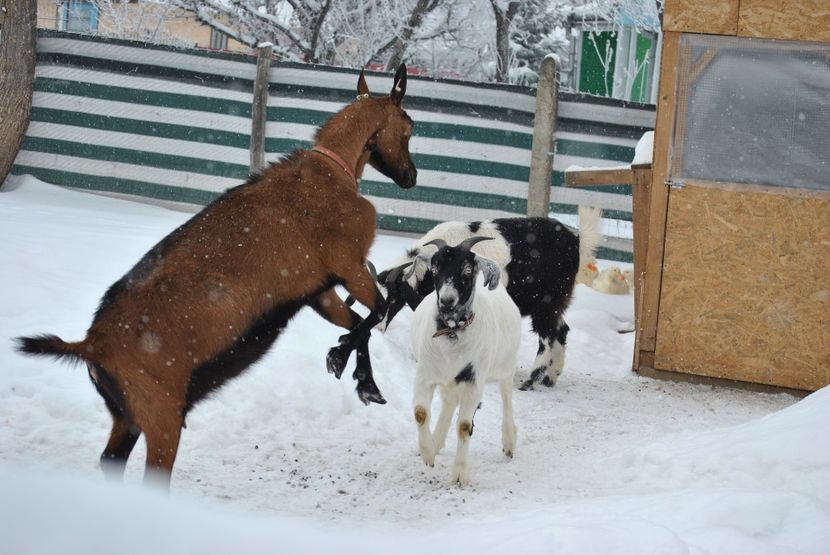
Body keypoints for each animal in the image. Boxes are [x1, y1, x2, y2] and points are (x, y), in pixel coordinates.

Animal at [17, 65, 422, 488]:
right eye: (409, 128)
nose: (411, 176)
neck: (332, 172)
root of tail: (90, 345)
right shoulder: (349, 266)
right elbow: (377, 312)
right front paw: (339, 359)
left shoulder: (318, 291)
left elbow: (360, 321)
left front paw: (365, 383)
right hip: (161, 415)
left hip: (127, 416)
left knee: (111, 461)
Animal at [380, 207, 600, 390]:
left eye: (393, 298)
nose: (378, 328)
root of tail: (576, 239)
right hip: (556, 303)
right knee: (562, 330)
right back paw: (550, 378)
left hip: (547, 302)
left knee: (548, 335)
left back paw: (530, 381)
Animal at [410, 237, 520, 488]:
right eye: (434, 268)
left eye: (467, 270)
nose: (447, 300)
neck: (451, 332)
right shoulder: (425, 374)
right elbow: (421, 413)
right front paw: (427, 453)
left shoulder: (473, 382)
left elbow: (464, 427)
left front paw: (460, 476)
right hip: (449, 381)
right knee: (449, 403)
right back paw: (437, 441)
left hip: (505, 368)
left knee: (507, 399)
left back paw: (509, 442)